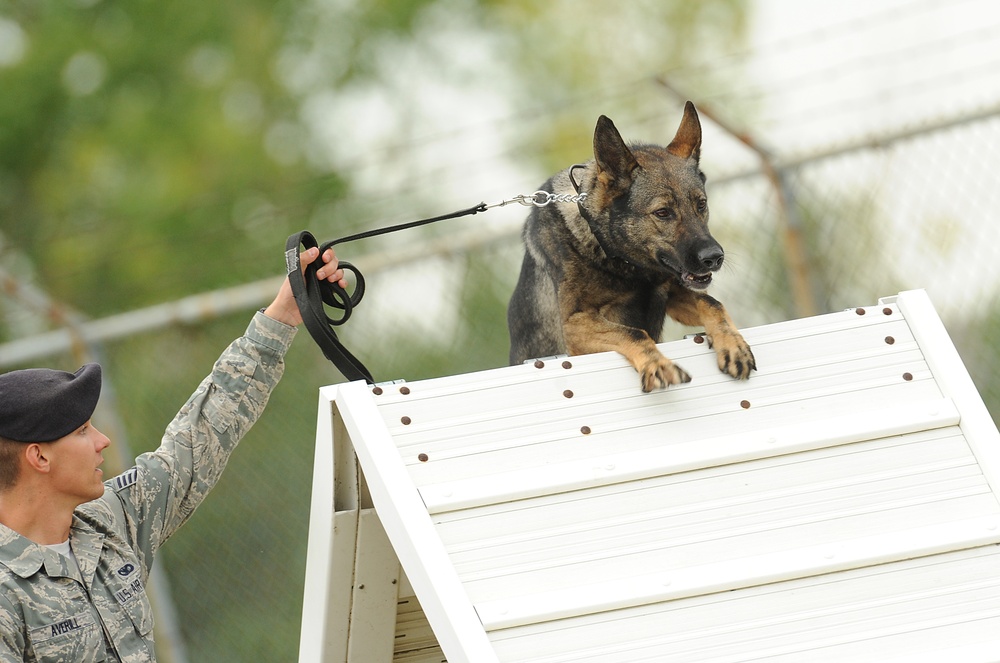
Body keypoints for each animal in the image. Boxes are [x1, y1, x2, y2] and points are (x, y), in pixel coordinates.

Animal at [512, 102, 752, 392]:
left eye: (701, 205)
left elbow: (713, 303)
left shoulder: (673, 294)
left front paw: (733, 344)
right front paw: (658, 364)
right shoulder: (574, 324)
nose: (714, 258)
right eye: (662, 213)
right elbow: (634, 332)